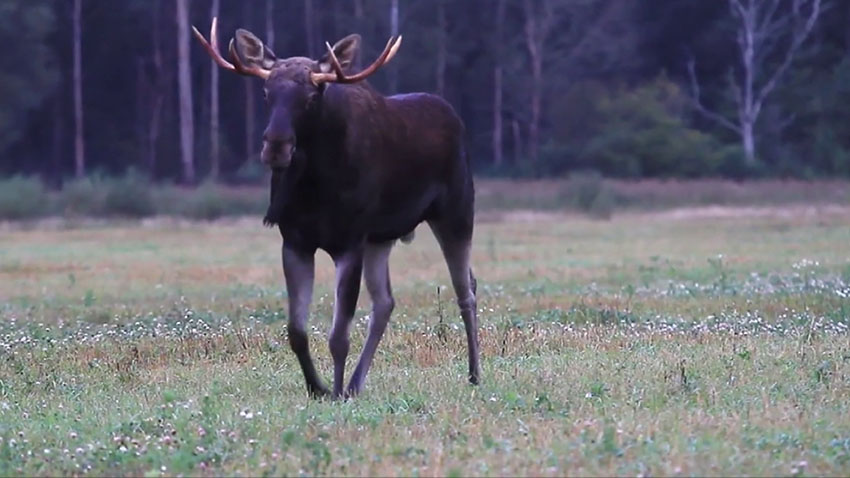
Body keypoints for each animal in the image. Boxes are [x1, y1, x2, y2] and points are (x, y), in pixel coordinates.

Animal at [193, 18, 480, 398]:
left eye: (312, 96)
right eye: (267, 93)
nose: (276, 146)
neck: (317, 188)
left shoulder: (350, 242)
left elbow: (338, 336)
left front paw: (335, 390)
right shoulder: (296, 241)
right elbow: (296, 331)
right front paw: (320, 387)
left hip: (456, 211)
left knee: (466, 290)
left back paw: (474, 373)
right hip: (381, 238)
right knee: (385, 302)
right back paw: (357, 383)